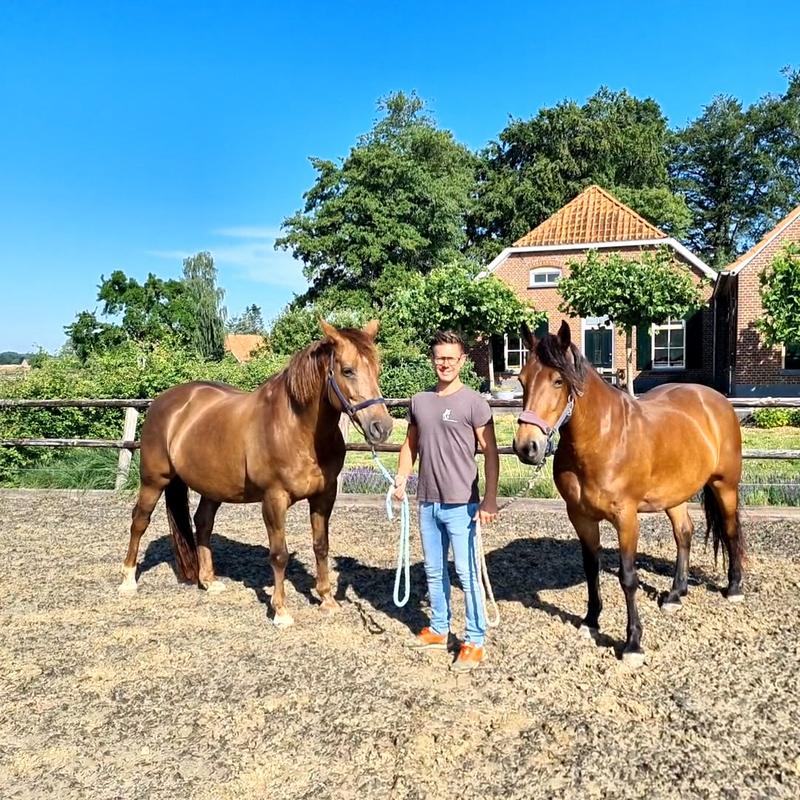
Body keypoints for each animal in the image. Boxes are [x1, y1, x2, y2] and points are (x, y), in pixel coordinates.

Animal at [118, 320, 394, 627]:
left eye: (377, 369)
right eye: (348, 370)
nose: (382, 427)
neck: (296, 429)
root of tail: (163, 402)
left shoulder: (325, 496)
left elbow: (321, 545)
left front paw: (327, 600)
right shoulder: (274, 499)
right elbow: (279, 554)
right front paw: (281, 611)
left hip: (212, 486)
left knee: (202, 523)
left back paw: (208, 580)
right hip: (153, 481)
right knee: (139, 521)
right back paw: (128, 580)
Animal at [512, 321, 744, 667]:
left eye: (558, 380)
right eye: (522, 379)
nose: (526, 447)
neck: (603, 438)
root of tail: (717, 401)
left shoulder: (626, 519)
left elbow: (628, 577)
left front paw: (633, 643)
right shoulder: (580, 517)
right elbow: (591, 568)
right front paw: (591, 621)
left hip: (724, 485)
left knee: (730, 530)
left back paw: (734, 588)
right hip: (674, 494)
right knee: (684, 533)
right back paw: (675, 594)